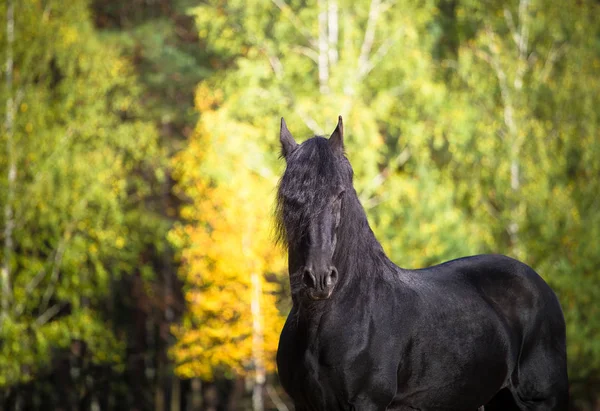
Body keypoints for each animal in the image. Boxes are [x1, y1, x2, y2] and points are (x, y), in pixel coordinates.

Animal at [276, 116, 568, 411]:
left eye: (339, 194)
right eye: (289, 198)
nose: (319, 278)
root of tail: (539, 284)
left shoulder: (367, 402)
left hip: (543, 400)